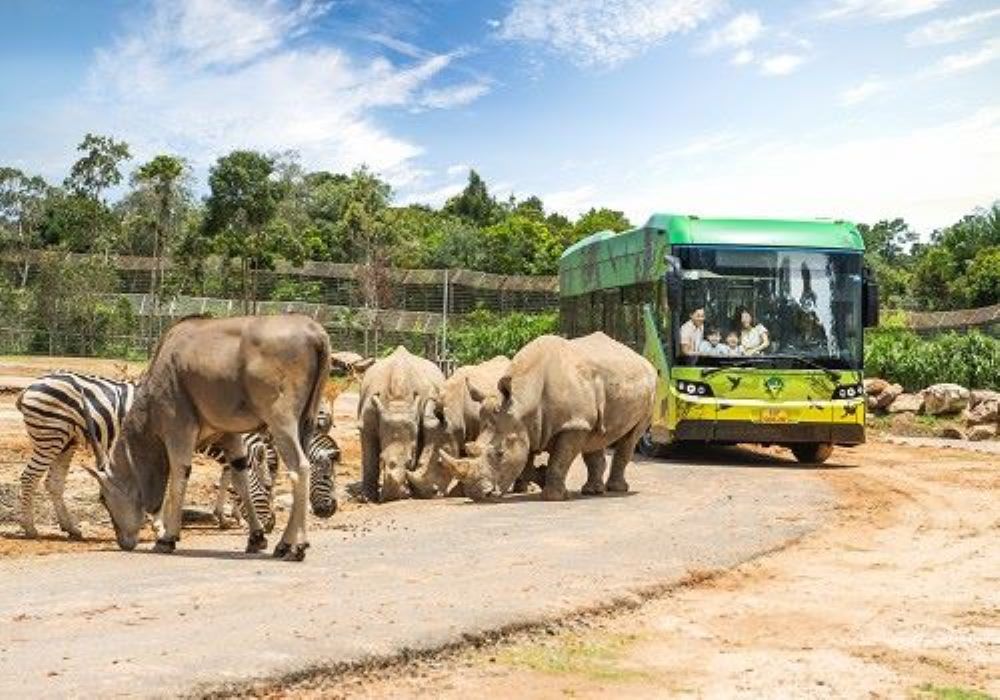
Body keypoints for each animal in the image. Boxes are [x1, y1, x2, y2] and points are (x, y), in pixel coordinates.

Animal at [16, 374, 274, 540]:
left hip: (65, 441)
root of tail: (30, 386)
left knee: (54, 483)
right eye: (270, 488)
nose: (271, 526)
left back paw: (71, 529)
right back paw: (30, 528)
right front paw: (162, 527)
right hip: (50, 436)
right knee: (29, 477)